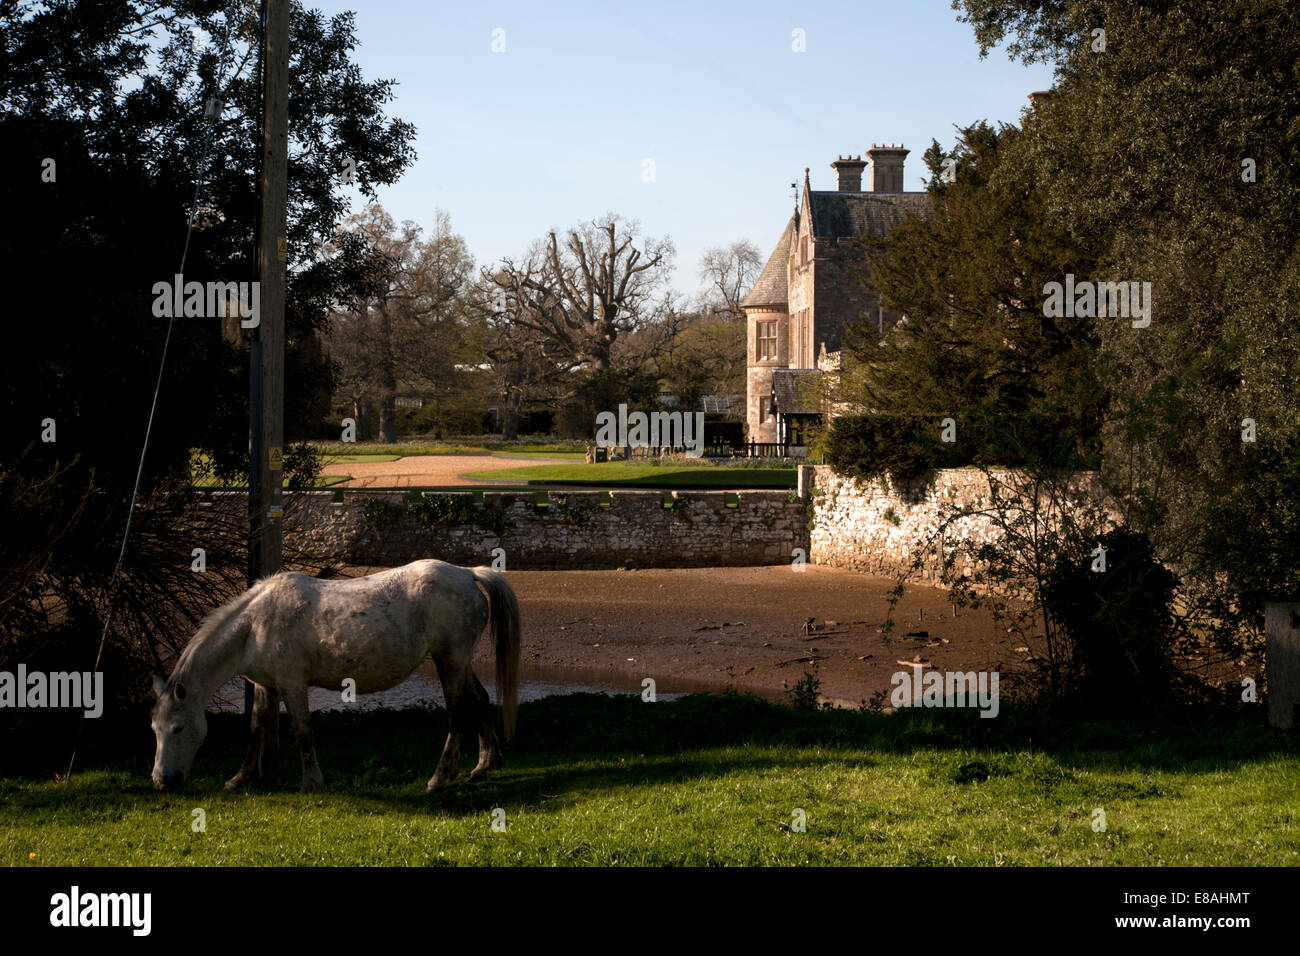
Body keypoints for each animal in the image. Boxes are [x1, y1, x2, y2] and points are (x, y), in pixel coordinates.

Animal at [149, 561, 514, 790]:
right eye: (155, 729)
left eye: (178, 728)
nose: (162, 781)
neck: (254, 625)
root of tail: (466, 574)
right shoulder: (266, 686)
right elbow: (256, 730)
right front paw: (242, 778)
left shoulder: (293, 686)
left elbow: (303, 733)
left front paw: (311, 782)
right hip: (459, 661)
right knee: (479, 700)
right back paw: (485, 764)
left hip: (449, 660)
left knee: (458, 714)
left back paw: (440, 778)